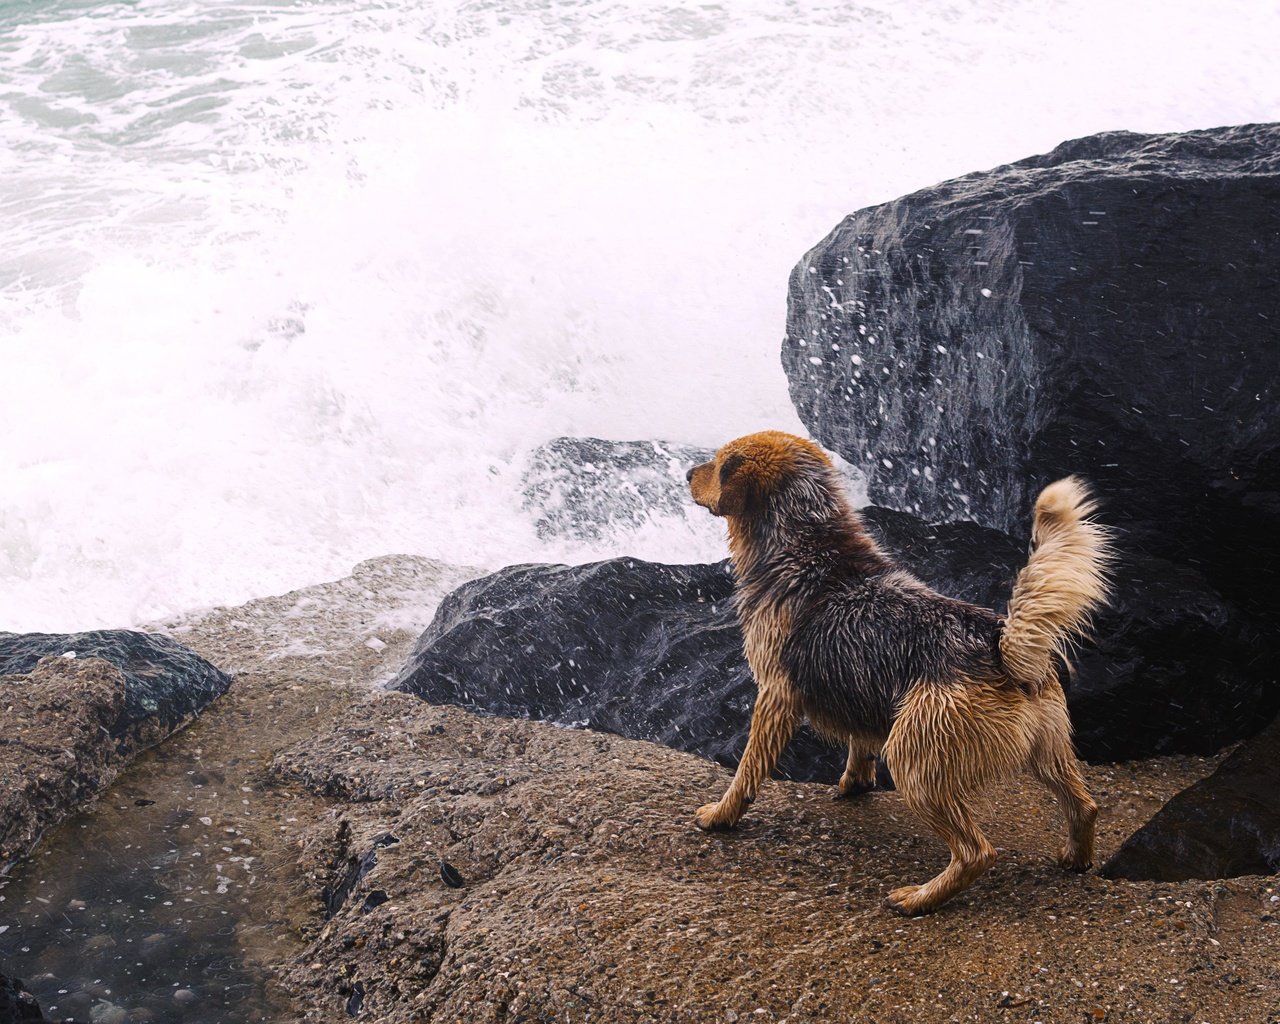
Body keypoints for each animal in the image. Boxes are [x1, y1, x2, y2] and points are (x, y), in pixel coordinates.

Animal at [686, 427, 1116, 916]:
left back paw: (920, 898)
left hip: (914, 758)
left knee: (977, 852)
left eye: (719, 463)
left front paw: (722, 815)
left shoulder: (775, 695)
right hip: (1048, 748)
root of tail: (1000, 645)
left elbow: (747, 769)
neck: (805, 541)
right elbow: (858, 744)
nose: (687, 473)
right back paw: (1075, 858)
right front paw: (854, 783)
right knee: (1084, 806)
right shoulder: (857, 686)